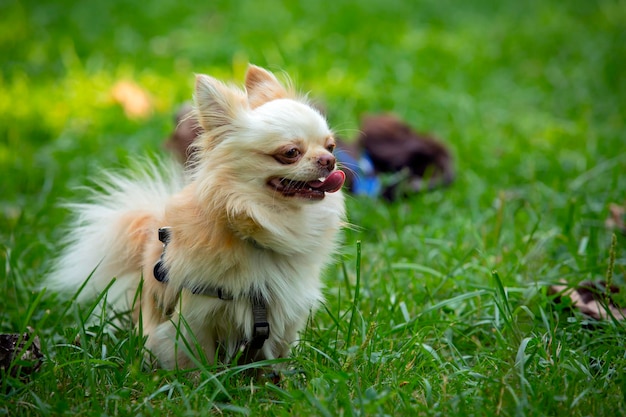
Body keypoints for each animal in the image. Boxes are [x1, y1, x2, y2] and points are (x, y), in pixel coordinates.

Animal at [46, 65, 344, 368]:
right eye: (291, 153)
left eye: (331, 146)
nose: (329, 161)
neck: (262, 228)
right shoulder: (194, 319)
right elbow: (197, 363)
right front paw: (202, 380)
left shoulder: (285, 313)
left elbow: (274, 362)